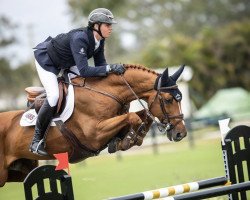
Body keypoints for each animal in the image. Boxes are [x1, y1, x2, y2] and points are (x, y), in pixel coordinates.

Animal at [0, 63, 187, 186]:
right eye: (168, 99)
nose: (181, 133)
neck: (107, 92)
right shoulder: (94, 134)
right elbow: (133, 117)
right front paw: (129, 139)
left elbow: (142, 116)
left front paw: (128, 139)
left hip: (19, 171)